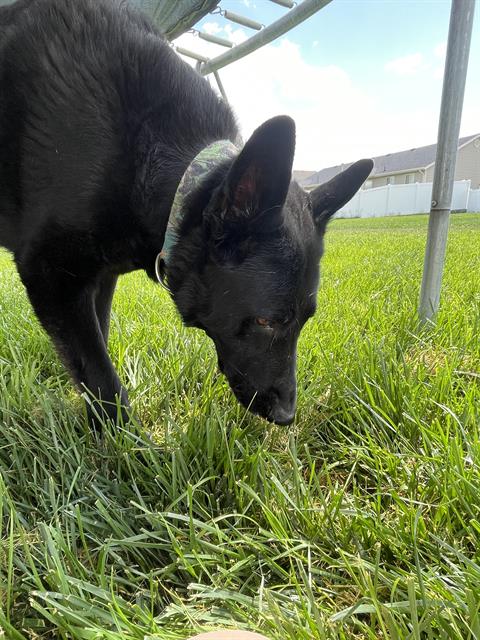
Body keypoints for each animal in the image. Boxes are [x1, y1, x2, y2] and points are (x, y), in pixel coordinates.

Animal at [0, 2, 374, 428]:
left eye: (306, 319)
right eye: (266, 321)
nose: (286, 416)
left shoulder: (99, 279)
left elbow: (98, 348)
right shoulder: (50, 276)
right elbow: (102, 378)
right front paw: (123, 443)